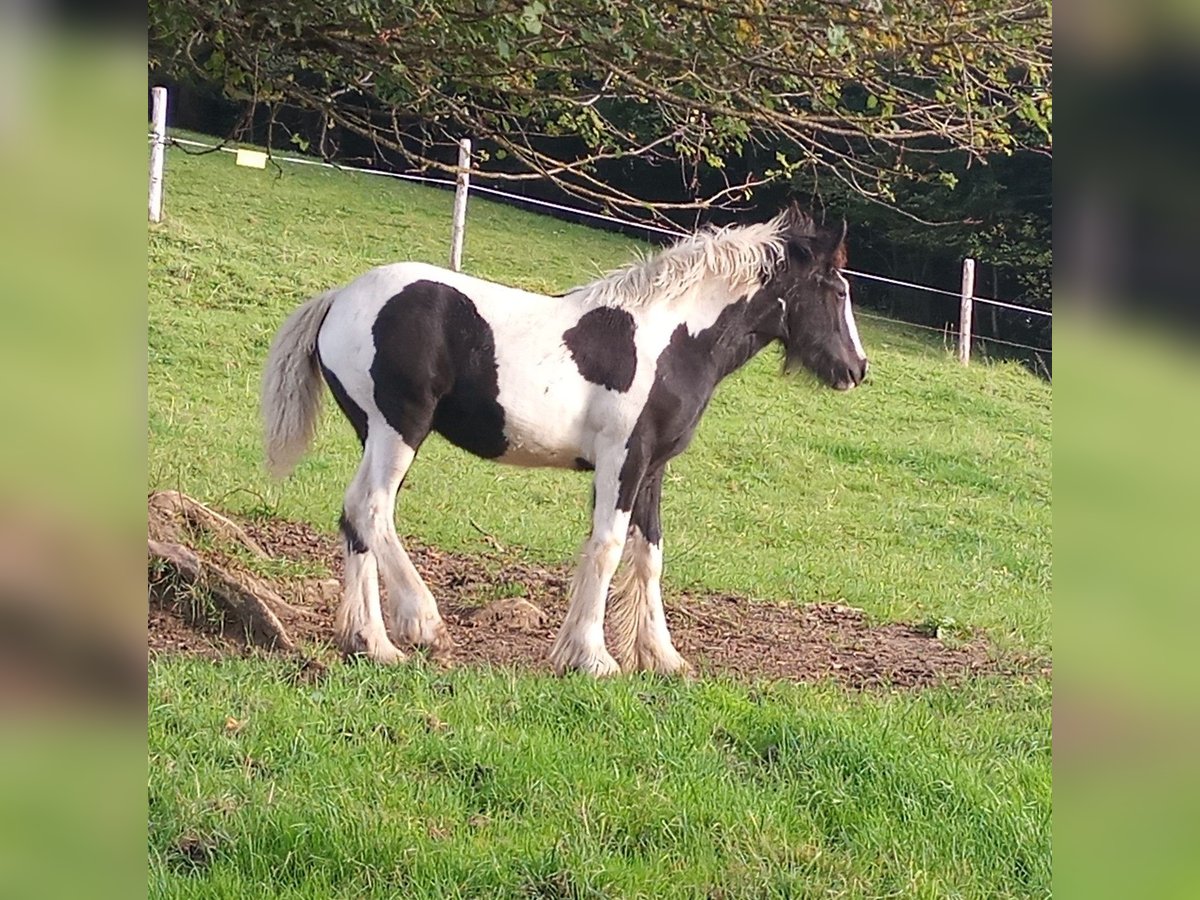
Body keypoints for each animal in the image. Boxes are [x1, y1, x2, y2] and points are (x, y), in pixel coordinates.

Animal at [262, 207, 868, 681]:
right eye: (837, 290)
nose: (857, 369)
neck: (673, 340)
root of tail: (339, 297)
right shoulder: (622, 460)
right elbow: (608, 548)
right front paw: (592, 657)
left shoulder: (652, 468)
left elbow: (649, 554)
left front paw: (663, 658)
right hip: (399, 427)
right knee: (372, 508)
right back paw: (423, 624)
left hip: (374, 432)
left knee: (355, 516)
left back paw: (372, 644)